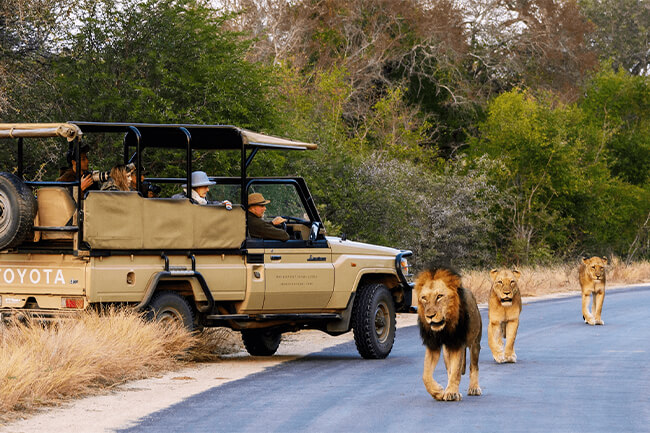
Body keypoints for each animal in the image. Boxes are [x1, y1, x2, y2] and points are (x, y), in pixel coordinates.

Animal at [412, 266, 478, 402]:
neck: (443, 329)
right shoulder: (432, 345)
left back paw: (474, 388)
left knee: (473, 367)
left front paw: (451, 393)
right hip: (447, 351)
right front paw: (438, 392)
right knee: (449, 369)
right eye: (424, 298)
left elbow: (456, 371)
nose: (430, 316)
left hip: (475, 343)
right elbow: (426, 376)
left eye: (439, 296)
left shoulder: (458, 343)